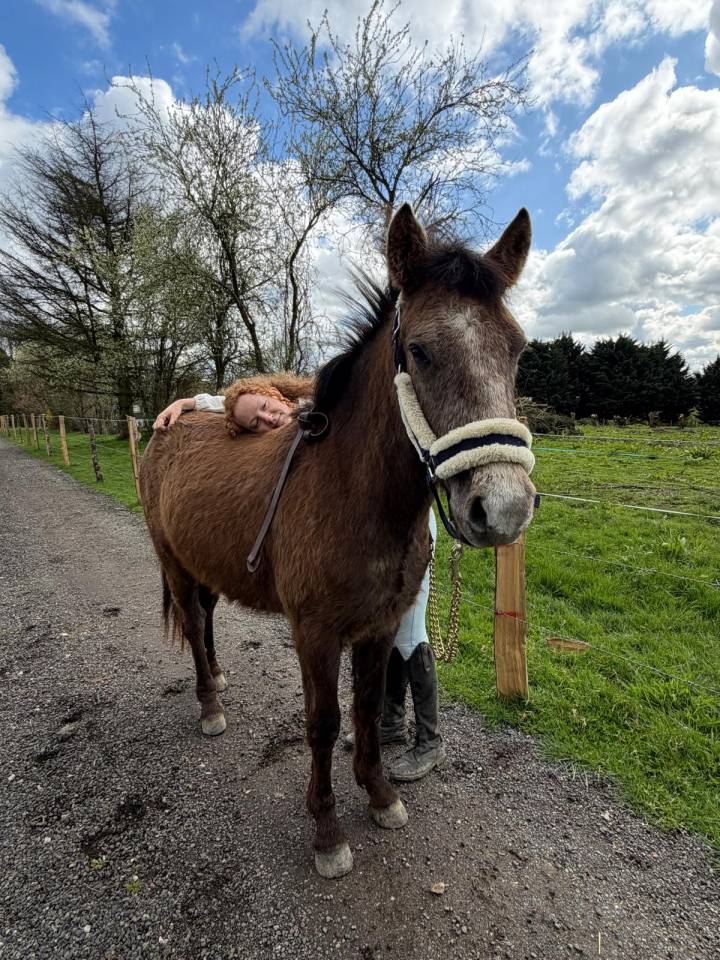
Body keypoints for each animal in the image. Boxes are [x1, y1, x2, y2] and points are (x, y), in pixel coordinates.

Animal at [139, 204, 537, 878]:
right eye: (421, 352)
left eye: (516, 350)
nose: (504, 508)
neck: (353, 495)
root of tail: (166, 426)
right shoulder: (316, 633)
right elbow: (323, 722)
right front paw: (326, 831)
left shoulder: (380, 626)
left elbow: (371, 708)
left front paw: (379, 795)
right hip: (172, 563)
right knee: (192, 623)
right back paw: (210, 706)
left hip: (206, 562)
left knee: (208, 617)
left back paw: (217, 678)